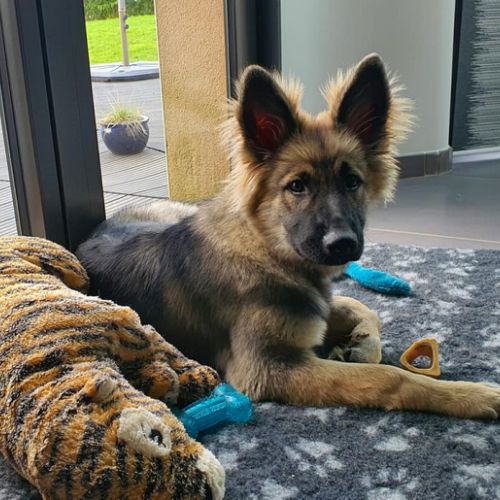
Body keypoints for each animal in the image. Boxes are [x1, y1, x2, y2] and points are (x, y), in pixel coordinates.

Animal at [77, 54, 500, 419]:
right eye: (297, 186)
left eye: (352, 181)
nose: (342, 244)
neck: (268, 251)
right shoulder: (268, 368)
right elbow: (390, 377)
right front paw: (470, 395)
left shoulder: (315, 310)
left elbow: (361, 307)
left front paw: (362, 343)